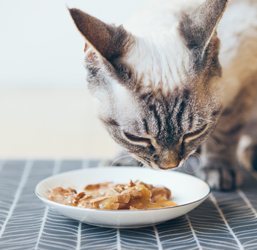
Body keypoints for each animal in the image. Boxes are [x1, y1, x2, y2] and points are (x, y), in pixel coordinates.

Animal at [68, 0, 256, 190]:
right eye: (135, 138)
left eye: (195, 132)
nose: (169, 166)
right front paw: (123, 163)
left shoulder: (243, 88)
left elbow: (224, 135)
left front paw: (217, 169)